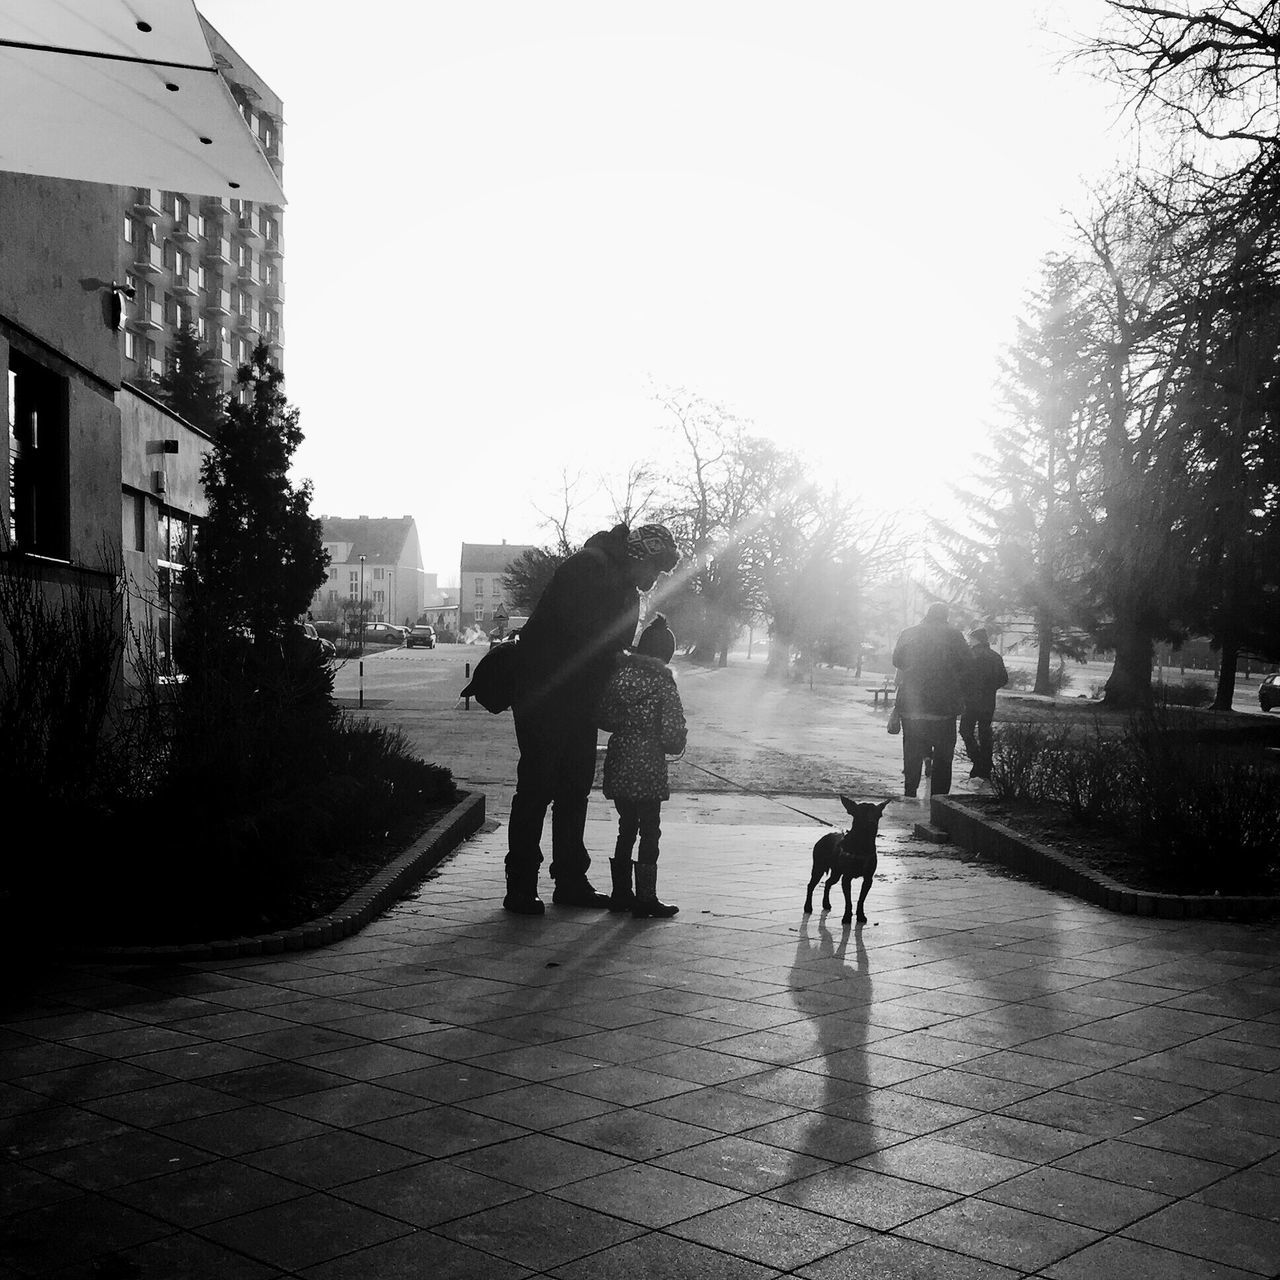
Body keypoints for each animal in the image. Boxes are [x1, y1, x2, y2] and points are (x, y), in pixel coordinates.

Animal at [798, 793, 890, 926]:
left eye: (878, 814)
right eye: (862, 813)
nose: (872, 823)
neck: (862, 845)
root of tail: (824, 837)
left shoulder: (868, 879)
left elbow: (861, 899)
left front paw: (861, 916)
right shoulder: (846, 878)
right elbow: (848, 901)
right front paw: (846, 917)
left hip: (836, 873)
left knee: (828, 882)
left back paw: (826, 904)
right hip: (818, 868)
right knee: (811, 885)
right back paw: (808, 907)